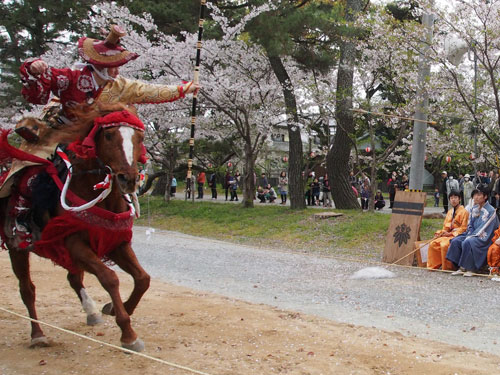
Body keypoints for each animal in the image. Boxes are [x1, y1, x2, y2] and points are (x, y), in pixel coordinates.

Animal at [1, 105, 150, 352]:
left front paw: (115, 309)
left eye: (140, 138)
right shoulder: (73, 242)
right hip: (17, 246)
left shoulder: (115, 242)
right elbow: (110, 278)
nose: (128, 179)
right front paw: (128, 333)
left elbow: (142, 279)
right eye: (109, 135)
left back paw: (91, 312)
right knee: (27, 289)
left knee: (73, 278)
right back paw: (38, 335)